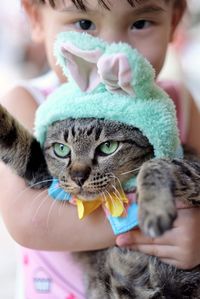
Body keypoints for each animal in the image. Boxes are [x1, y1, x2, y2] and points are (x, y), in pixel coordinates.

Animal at [0, 103, 200, 299]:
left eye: (108, 147)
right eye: (61, 149)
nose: (78, 176)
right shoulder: (43, 175)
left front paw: (154, 208)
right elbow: (18, 143)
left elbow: (155, 163)